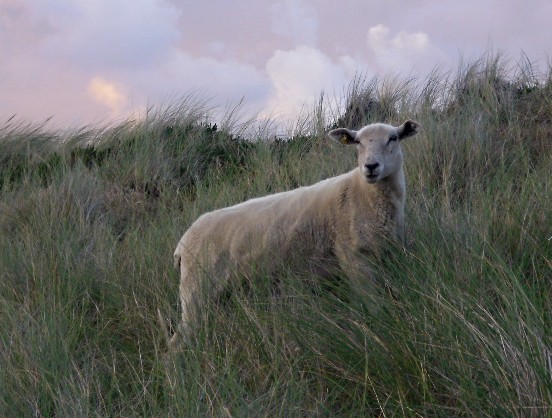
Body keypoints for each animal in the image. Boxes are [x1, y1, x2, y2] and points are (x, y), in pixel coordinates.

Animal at [171, 119, 418, 344]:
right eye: (357, 142)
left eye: (393, 138)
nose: (371, 166)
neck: (364, 192)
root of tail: (182, 244)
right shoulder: (355, 259)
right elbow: (373, 306)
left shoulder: (386, 254)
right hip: (196, 290)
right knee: (178, 340)